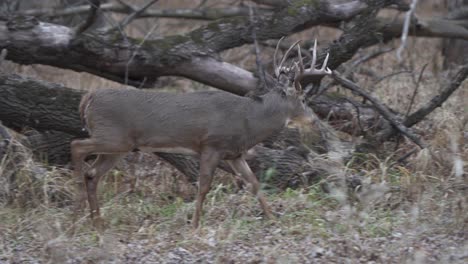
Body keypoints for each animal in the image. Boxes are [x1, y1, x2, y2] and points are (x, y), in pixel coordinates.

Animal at [71, 37, 330, 229]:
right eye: (303, 99)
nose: (314, 121)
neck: (249, 120)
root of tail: (88, 98)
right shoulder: (212, 145)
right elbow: (204, 186)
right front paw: (195, 225)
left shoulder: (234, 154)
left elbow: (254, 183)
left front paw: (273, 218)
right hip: (113, 136)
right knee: (77, 146)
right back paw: (78, 206)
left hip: (119, 146)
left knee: (92, 173)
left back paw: (97, 222)